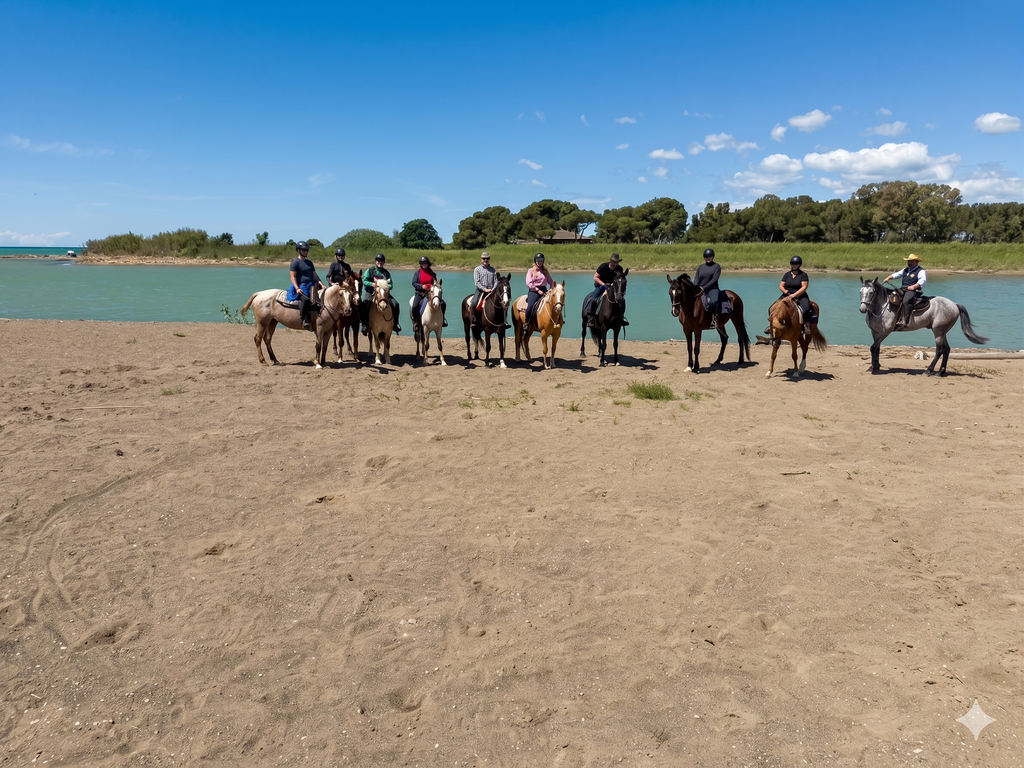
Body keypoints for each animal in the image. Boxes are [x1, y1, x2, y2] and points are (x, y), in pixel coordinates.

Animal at [858, 277, 988, 376]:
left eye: (871, 292)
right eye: (860, 291)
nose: (862, 309)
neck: (882, 306)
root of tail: (954, 304)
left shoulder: (885, 332)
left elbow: (873, 347)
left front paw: (874, 367)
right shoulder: (875, 332)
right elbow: (877, 348)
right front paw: (875, 366)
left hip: (938, 332)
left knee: (939, 350)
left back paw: (929, 370)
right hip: (942, 332)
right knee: (947, 349)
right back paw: (941, 372)